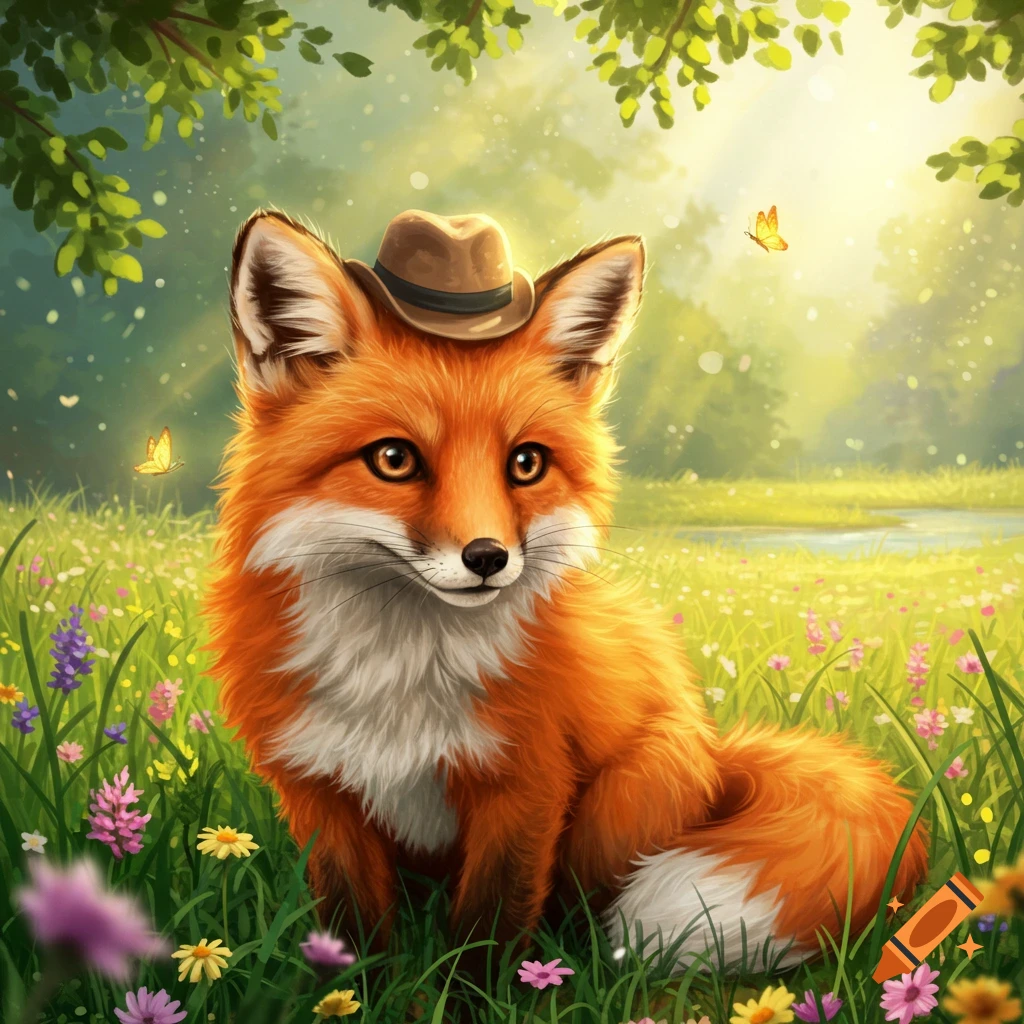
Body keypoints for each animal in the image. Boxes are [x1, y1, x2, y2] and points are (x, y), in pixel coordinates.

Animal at [206, 209, 928, 976]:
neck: (401, 676)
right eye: (394, 459)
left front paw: (479, 992)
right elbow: (352, 932)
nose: (488, 558)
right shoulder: (321, 792)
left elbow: (488, 931)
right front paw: (354, 990)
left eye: (526, 464)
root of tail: (714, 754)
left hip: (623, 800)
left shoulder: (527, 788)